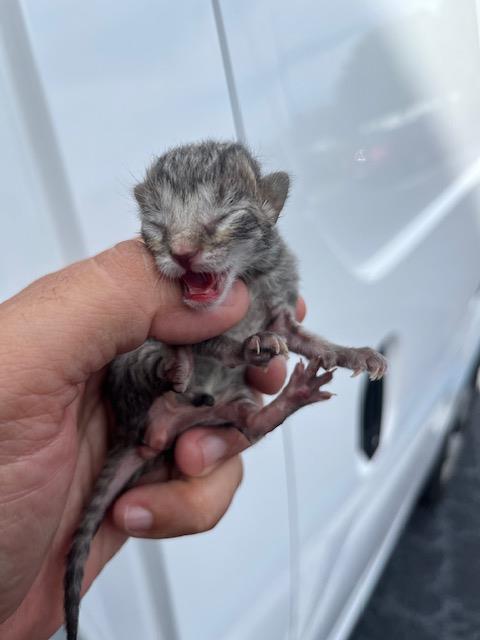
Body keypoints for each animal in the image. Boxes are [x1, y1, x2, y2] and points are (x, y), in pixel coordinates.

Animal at [62, 141, 386, 640]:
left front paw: (354, 353)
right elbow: (212, 341)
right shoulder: (191, 325)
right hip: (129, 366)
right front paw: (246, 346)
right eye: (158, 225)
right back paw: (179, 366)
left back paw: (288, 398)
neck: (245, 279)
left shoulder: (282, 303)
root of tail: (142, 433)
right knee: (155, 370)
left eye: (223, 218)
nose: (182, 253)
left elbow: (305, 339)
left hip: (228, 407)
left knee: (249, 423)